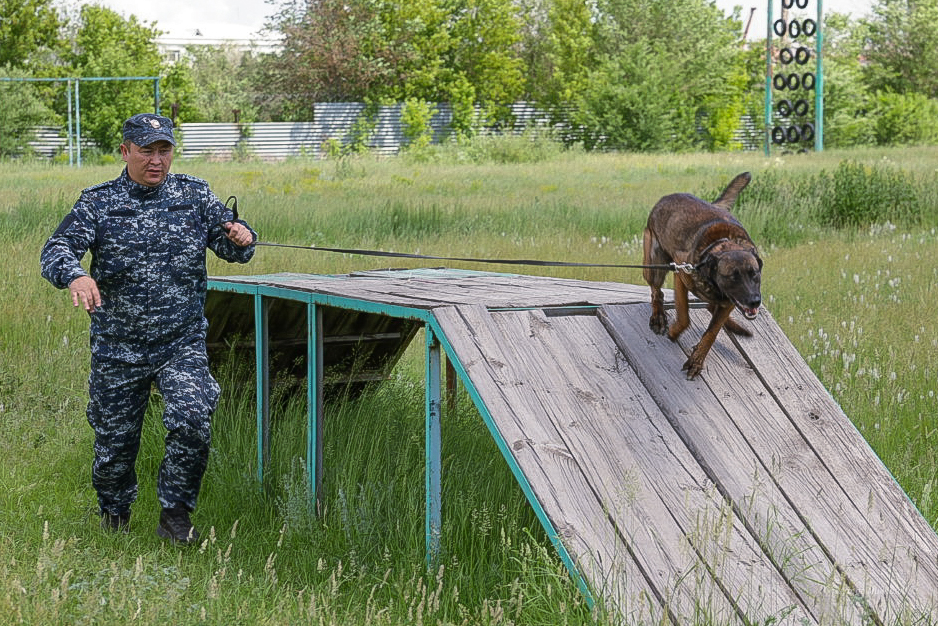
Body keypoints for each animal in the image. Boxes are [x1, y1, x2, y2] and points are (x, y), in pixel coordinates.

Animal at [640, 171, 764, 378]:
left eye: (754, 274)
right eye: (733, 277)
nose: (755, 301)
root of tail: (665, 198)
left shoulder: (729, 301)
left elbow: (712, 332)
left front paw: (697, 360)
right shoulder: (681, 274)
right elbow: (684, 317)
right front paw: (674, 332)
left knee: (709, 307)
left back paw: (734, 325)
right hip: (655, 266)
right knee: (657, 292)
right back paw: (658, 317)